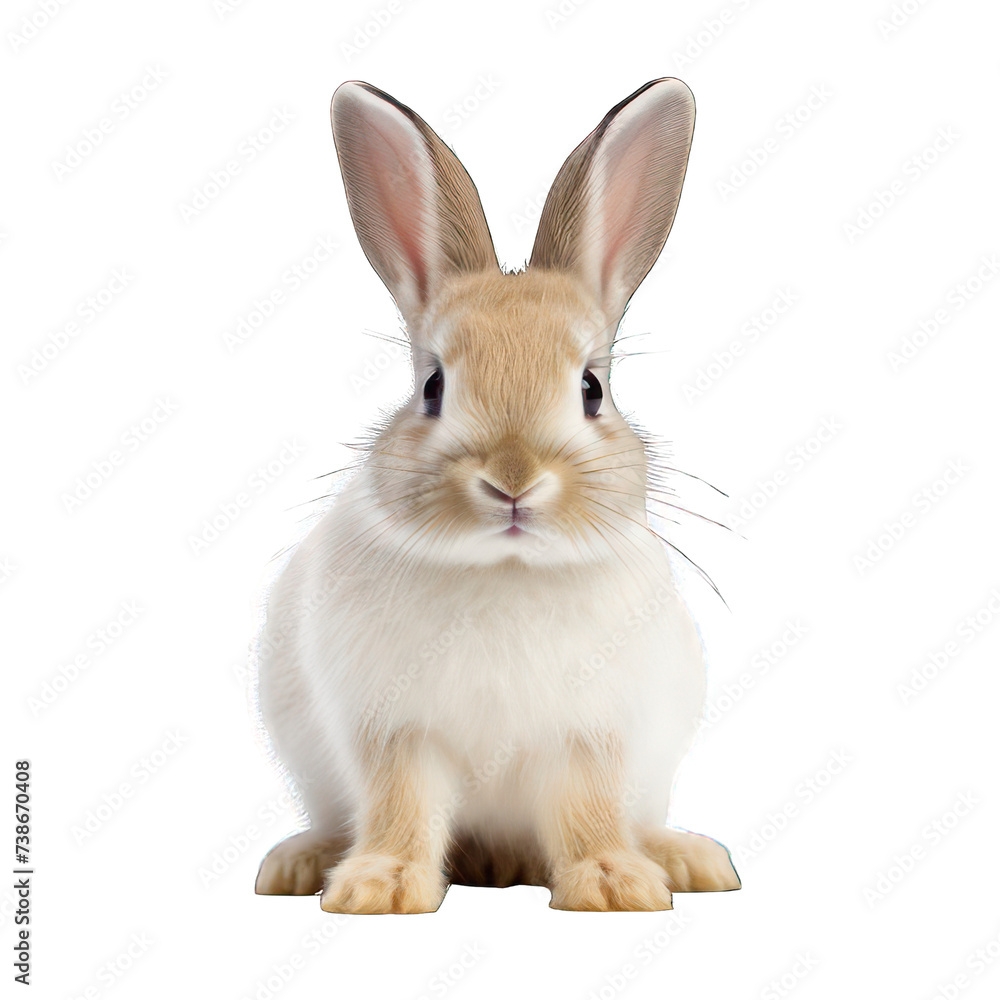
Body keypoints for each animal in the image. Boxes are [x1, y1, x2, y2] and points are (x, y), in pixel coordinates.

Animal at [253, 78, 740, 912]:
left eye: (592, 389)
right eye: (432, 387)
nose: (512, 481)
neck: (505, 570)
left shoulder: (590, 735)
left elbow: (586, 810)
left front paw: (614, 885)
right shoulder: (397, 732)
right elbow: (402, 806)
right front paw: (381, 888)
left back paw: (686, 859)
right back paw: (298, 862)